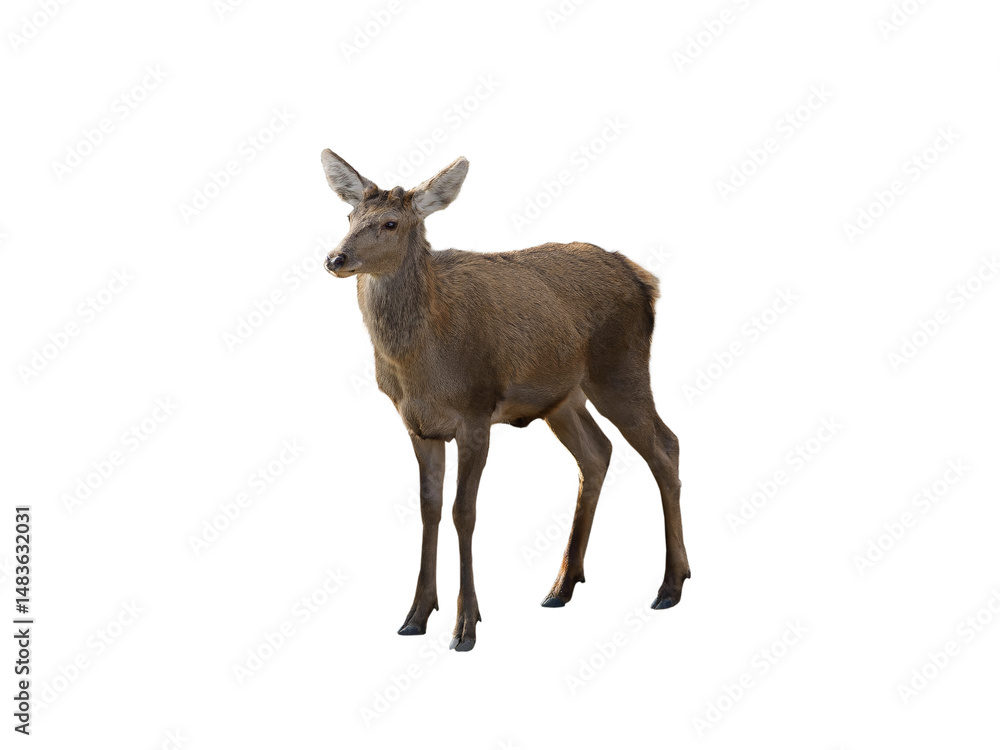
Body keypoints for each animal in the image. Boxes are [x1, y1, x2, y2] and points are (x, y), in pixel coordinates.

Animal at [319, 150, 690, 652]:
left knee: (665, 446)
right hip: (562, 397)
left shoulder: (475, 412)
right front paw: (416, 615)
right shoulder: (418, 425)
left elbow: (464, 512)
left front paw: (466, 626)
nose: (335, 258)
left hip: (621, 369)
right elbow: (429, 509)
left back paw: (670, 585)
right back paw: (562, 585)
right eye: (349, 215)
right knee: (597, 453)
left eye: (391, 223)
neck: (420, 368)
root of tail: (644, 278)